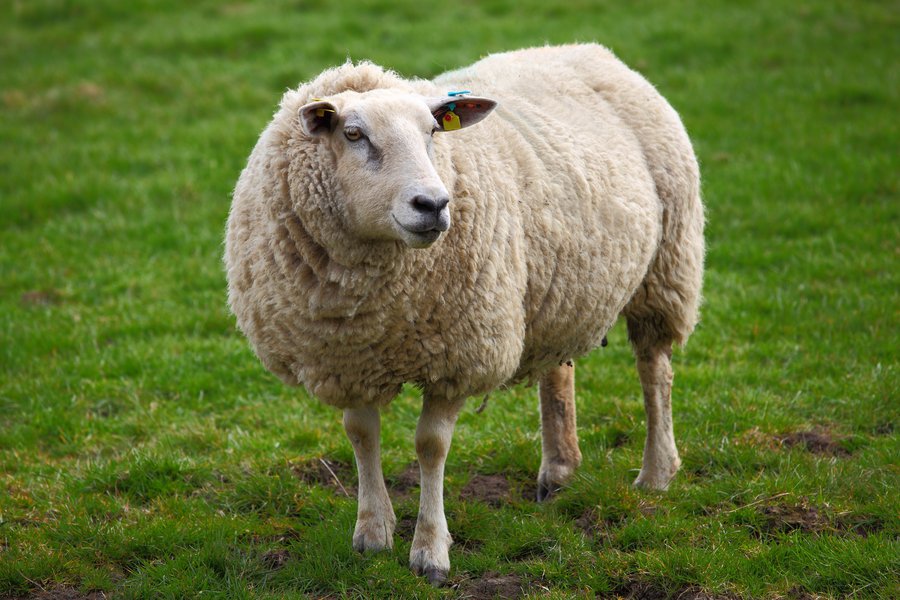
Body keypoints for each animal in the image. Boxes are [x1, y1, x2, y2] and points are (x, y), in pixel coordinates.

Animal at [224, 43, 704, 585]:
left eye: (432, 132)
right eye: (353, 134)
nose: (432, 204)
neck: (375, 304)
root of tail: (585, 49)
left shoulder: (458, 355)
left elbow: (431, 445)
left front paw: (430, 552)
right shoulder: (346, 359)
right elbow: (362, 435)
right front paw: (372, 533)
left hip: (667, 265)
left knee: (654, 369)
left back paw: (657, 473)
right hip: (557, 286)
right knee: (558, 369)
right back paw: (559, 471)